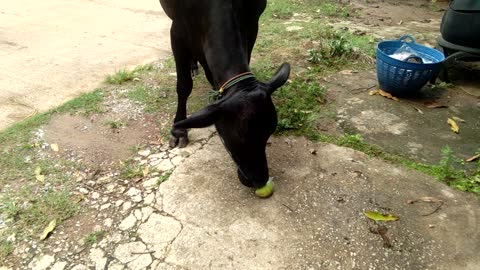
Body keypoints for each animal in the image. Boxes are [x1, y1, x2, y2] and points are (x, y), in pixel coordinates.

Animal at [159, 0, 290, 192]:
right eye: (238, 138)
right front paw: (178, 130)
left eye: (269, 132)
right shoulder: (177, 30)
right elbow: (184, 85)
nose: (260, 180)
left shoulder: (252, 23)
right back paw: (193, 66)